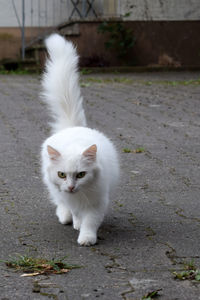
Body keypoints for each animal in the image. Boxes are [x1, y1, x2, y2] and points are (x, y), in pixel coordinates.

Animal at [40, 34, 119, 246]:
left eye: (81, 174)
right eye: (61, 174)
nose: (70, 186)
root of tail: (72, 127)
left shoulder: (97, 202)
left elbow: (90, 221)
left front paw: (86, 238)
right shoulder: (69, 198)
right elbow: (76, 213)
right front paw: (77, 224)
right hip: (54, 190)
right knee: (60, 204)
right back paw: (66, 217)